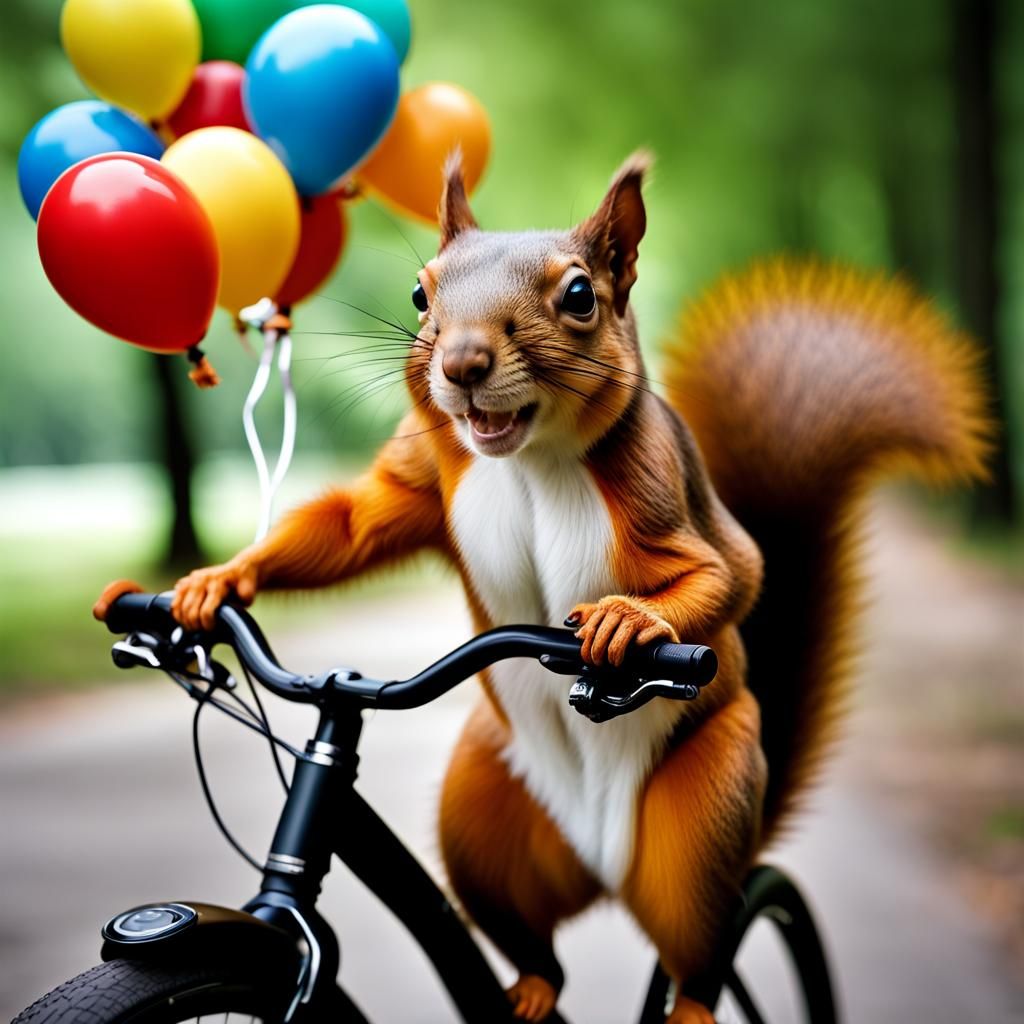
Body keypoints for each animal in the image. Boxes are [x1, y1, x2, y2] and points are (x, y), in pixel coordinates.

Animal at [101, 152, 990, 1024]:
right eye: (420, 293)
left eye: (579, 296)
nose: (461, 364)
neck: (526, 456)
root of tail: (605, 872)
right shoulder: (425, 468)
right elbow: (354, 522)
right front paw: (214, 583)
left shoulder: (660, 485)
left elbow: (727, 572)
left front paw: (625, 623)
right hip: (480, 819)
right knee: (532, 941)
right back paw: (530, 988)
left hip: (703, 816)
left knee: (700, 956)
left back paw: (690, 1002)